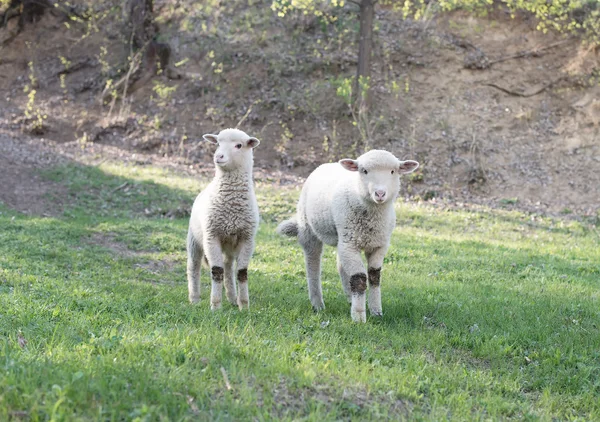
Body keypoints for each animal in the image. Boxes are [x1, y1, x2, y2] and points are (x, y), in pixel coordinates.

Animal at [188, 128, 260, 310]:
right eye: (218, 143)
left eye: (239, 145)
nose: (218, 156)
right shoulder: (211, 236)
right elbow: (216, 271)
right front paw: (215, 306)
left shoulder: (247, 238)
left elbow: (241, 273)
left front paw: (244, 306)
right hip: (194, 239)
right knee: (194, 267)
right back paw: (194, 299)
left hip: (230, 245)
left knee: (228, 267)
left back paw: (233, 298)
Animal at [276, 150, 418, 322]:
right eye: (364, 171)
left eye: (393, 171)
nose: (380, 193)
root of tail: (327, 164)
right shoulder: (350, 245)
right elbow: (359, 278)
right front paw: (359, 317)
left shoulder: (379, 245)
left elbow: (374, 276)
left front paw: (376, 311)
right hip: (309, 229)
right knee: (312, 264)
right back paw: (318, 304)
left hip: (342, 236)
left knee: (341, 265)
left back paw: (350, 298)